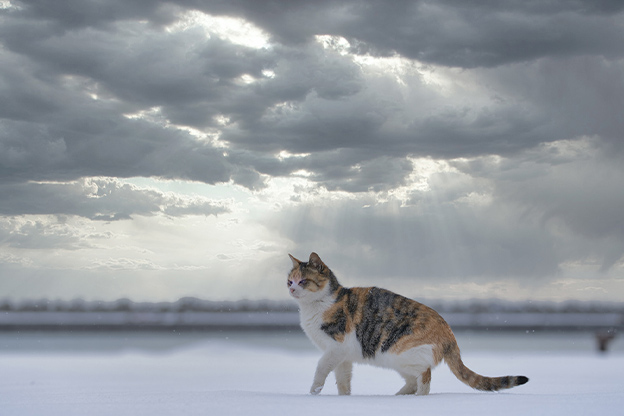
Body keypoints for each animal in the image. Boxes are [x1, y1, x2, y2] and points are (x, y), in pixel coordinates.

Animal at [286, 252, 528, 394]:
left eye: (303, 281)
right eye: (289, 281)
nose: (291, 289)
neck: (315, 306)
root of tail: (449, 333)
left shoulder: (336, 347)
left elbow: (321, 367)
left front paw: (314, 390)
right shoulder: (343, 357)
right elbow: (343, 380)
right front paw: (343, 399)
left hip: (399, 352)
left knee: (425, 375)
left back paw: (418, 399)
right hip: (396, 360)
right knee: (413, 381)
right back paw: (399, 396)